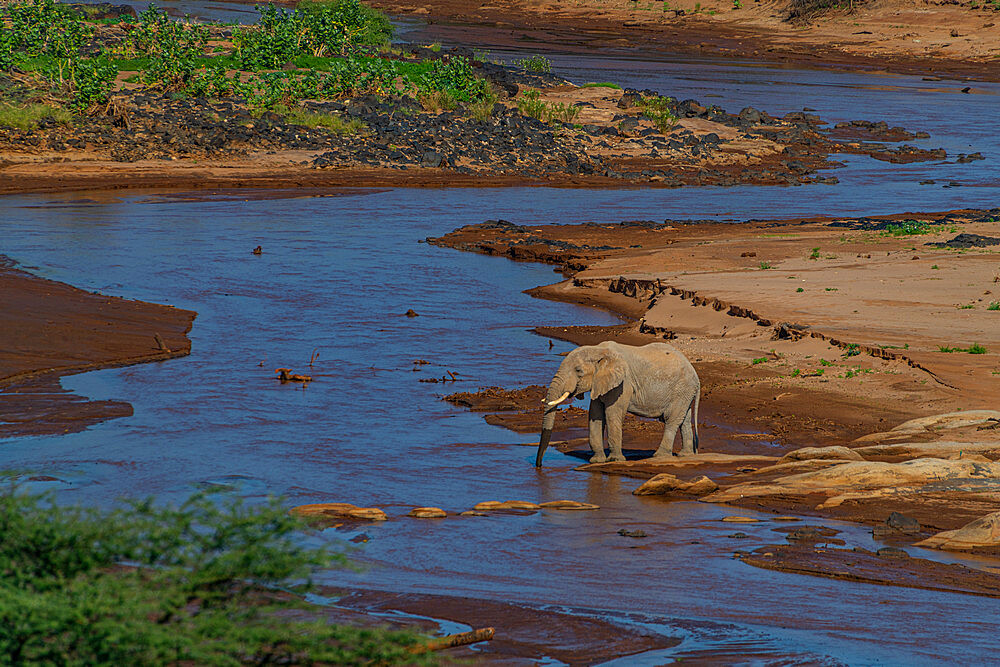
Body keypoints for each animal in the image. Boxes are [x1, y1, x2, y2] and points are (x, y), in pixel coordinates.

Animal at [536, 342, 700, 468]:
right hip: (685, 393)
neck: (599, 350)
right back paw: (685, 455)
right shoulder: (600, 383)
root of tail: (695, 374)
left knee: (671, 419)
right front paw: (597, 461)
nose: (539, 466)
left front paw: (614, 460)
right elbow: (595, 415)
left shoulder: (623, 384)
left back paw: (659, 456)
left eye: (578, 371)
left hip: (682, 389)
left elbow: (612, 413)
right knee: (684, 420)